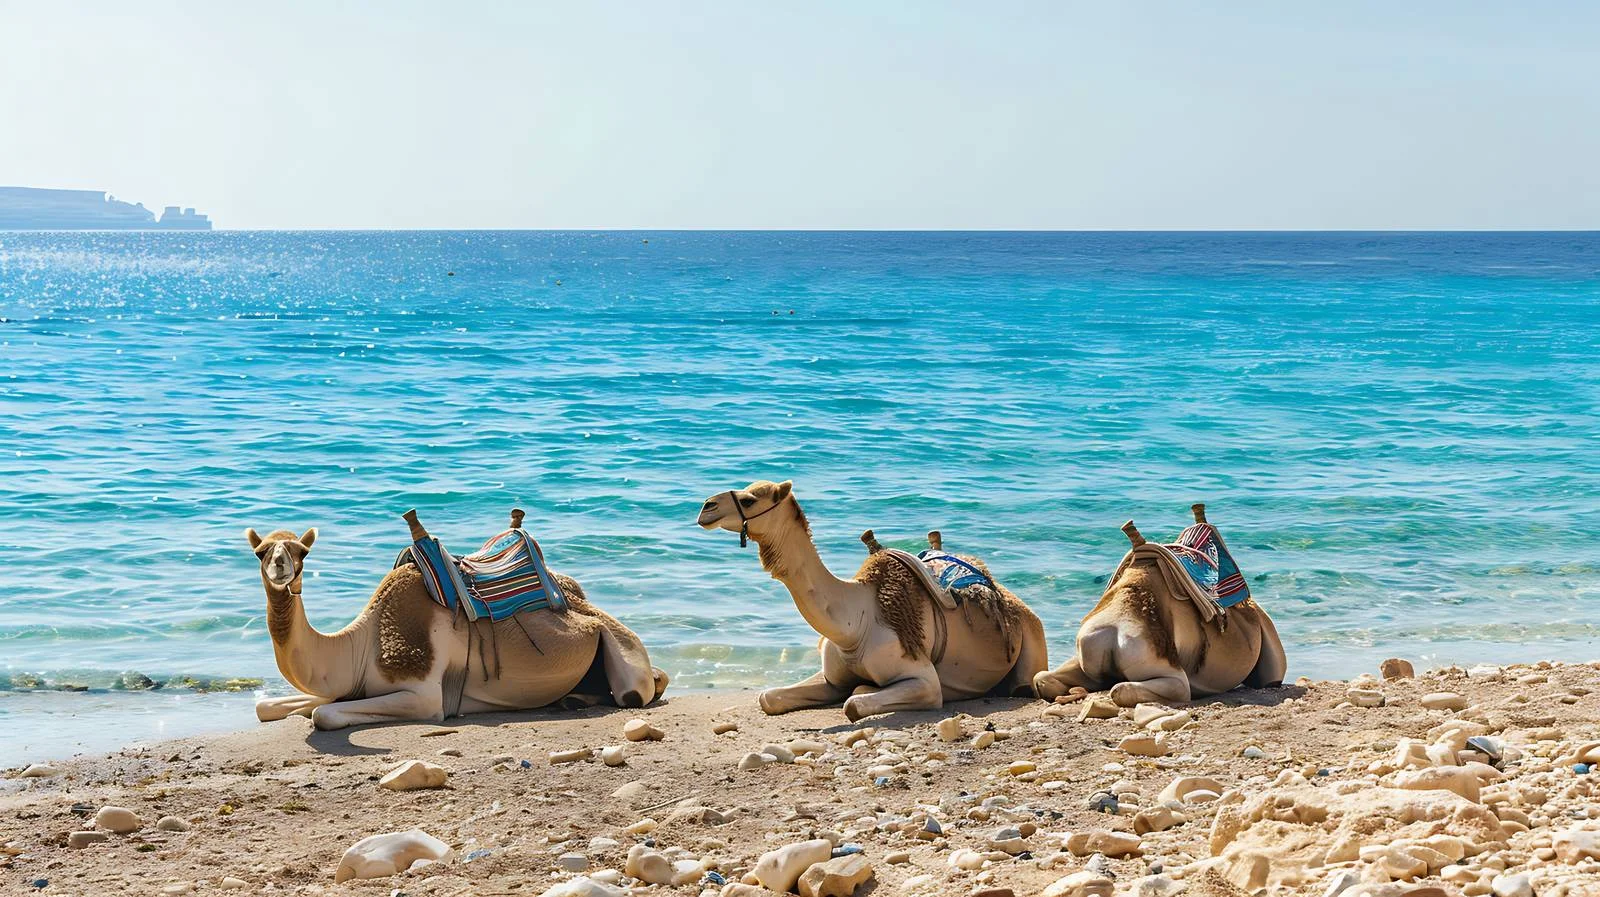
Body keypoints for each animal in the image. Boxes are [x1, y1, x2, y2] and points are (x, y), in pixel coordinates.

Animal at [247, 512, 668, 730]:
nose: (280, 566)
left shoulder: (424, 695)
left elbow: (324, 715)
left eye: (302, 551)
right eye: (260, 551)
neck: (360, 643)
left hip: (623, 654)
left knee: (636, 690)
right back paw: (571, 699)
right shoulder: (350, 686)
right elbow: (268, 707)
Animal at [697, 480, 1049, 721]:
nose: (706, 506)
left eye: (749, 499)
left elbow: (853, 702)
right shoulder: (831, 678)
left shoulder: (925, 681)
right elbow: (768, 697)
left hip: (1032, 643)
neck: (855, 622)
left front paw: (864, 690)